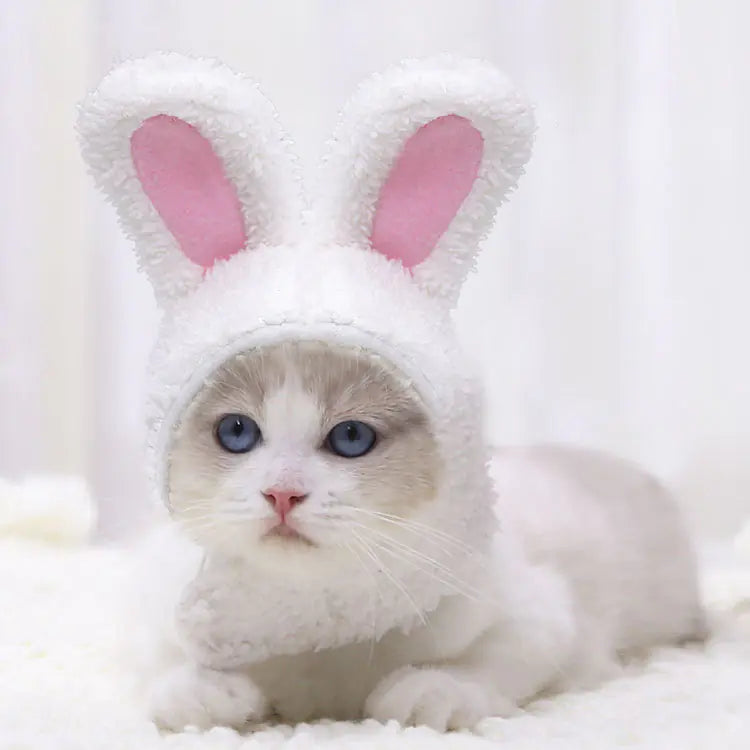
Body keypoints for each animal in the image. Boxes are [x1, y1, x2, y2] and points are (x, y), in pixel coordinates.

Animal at [78, 53, 706, 732]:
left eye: (351, 438)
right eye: (237, 432)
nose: (282, 493)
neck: (314, 633)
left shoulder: (540, 611)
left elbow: (496, 662)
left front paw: (433, 690)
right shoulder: (145, 602)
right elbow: (154, 660)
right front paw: (205, 692)